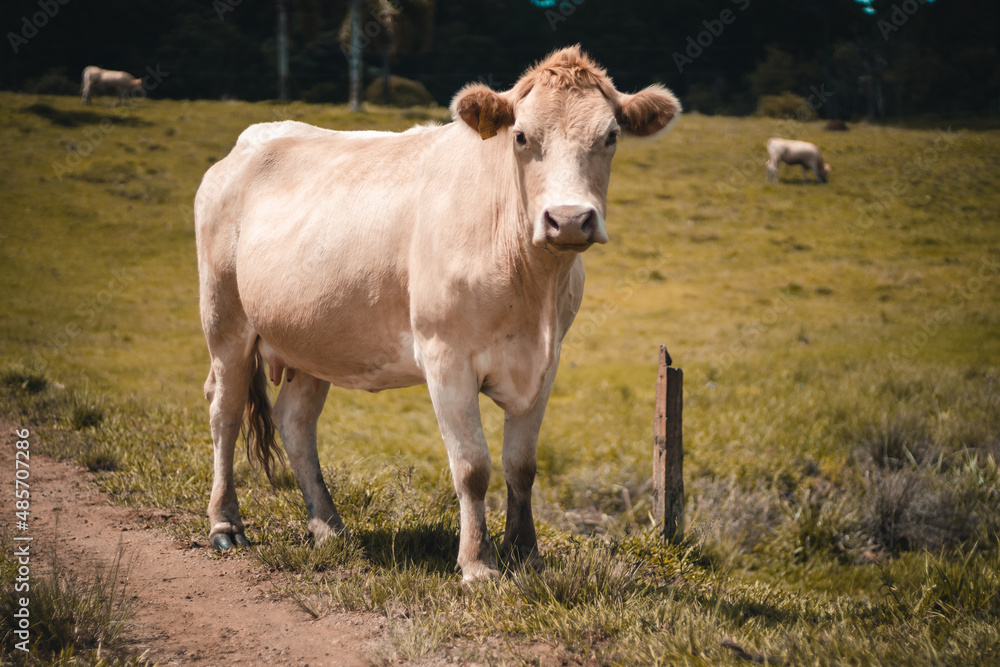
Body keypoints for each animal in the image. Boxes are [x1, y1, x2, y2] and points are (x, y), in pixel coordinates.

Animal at [193, 44, 680, 580]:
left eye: (610, 136)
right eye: (521, 136)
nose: (569, 219)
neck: (533, 290)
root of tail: (252, 139)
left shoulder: (544, 363)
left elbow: (522, 465)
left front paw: (525, 554)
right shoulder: (445, 357)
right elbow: (472, 467)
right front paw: (478, 564)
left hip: (310, 339)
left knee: (295, 422)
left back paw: (329, 526)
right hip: (225, 318)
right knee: (224, 408)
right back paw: (225, 524)